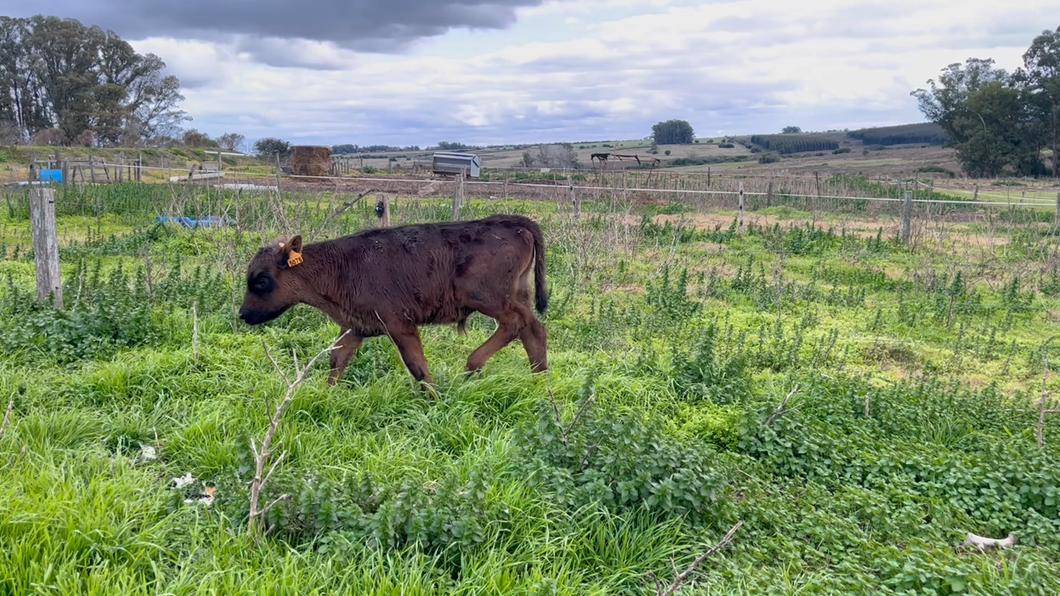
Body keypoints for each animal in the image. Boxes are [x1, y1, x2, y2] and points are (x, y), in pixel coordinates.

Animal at [238, 215, 546, 381]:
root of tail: (510, 222)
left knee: (516, 322)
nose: (243, 314)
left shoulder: (399, 324)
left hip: (488, 298)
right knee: (534, 329)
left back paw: (473, 364)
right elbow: (337, 360)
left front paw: (435, 403)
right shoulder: (355, 325)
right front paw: (328, 395)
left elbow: (417, 366)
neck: (340, 267)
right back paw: (540, 380)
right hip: (518, 294)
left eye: (261, 280)